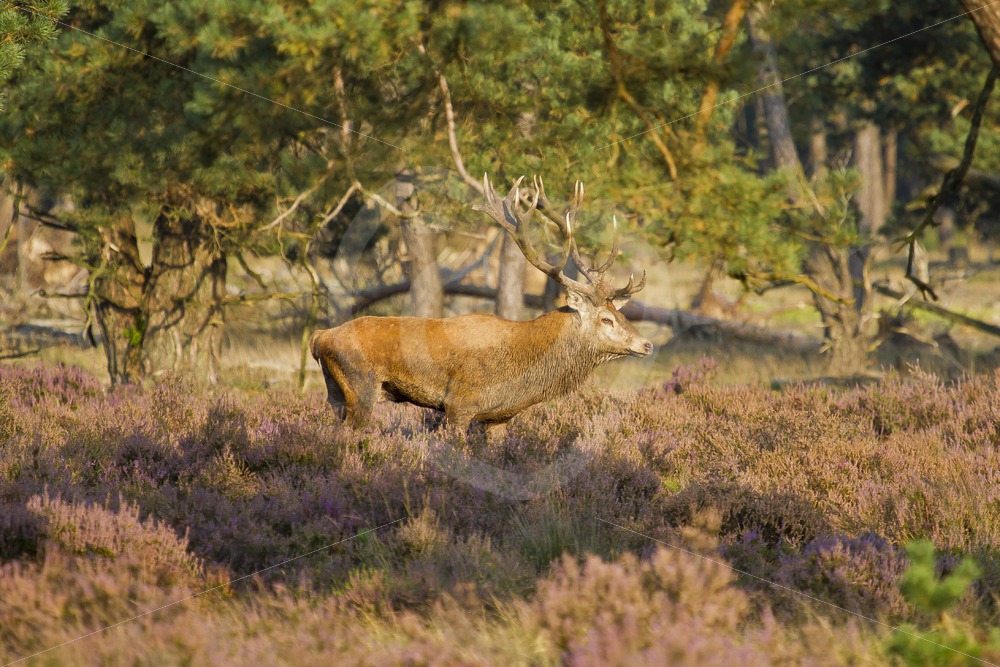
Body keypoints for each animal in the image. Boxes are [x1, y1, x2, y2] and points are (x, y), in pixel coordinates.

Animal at [309, 174, 652, 438]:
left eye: (620, 312)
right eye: (606, 319)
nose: (646, 344)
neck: (524, 373)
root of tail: (320, 337)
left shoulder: (500, 417)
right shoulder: (459, 404)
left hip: (335, 391)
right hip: (361, 386)